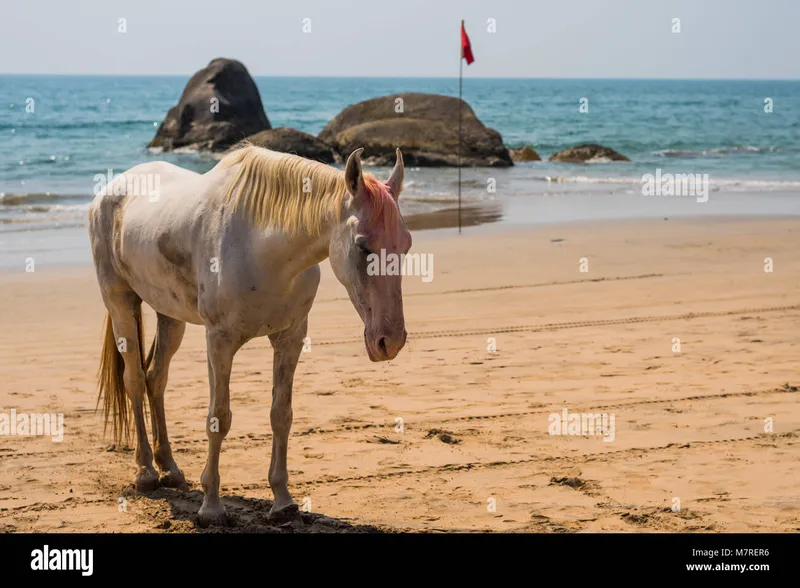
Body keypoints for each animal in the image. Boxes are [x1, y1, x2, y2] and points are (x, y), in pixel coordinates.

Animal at [90, 146, 410, 524]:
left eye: (406, 245)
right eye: (363, 247)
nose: (390, 341)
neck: (262, 247)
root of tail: (110, 190)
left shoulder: (290, 338)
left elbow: (281, 415)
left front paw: (283, 502)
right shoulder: (219, 342)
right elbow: (219, 417)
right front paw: (212, 507)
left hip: (170, 316)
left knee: (156, 379)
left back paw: (170, 468)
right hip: (120, 303)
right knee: (135, 380)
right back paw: (146, 473)